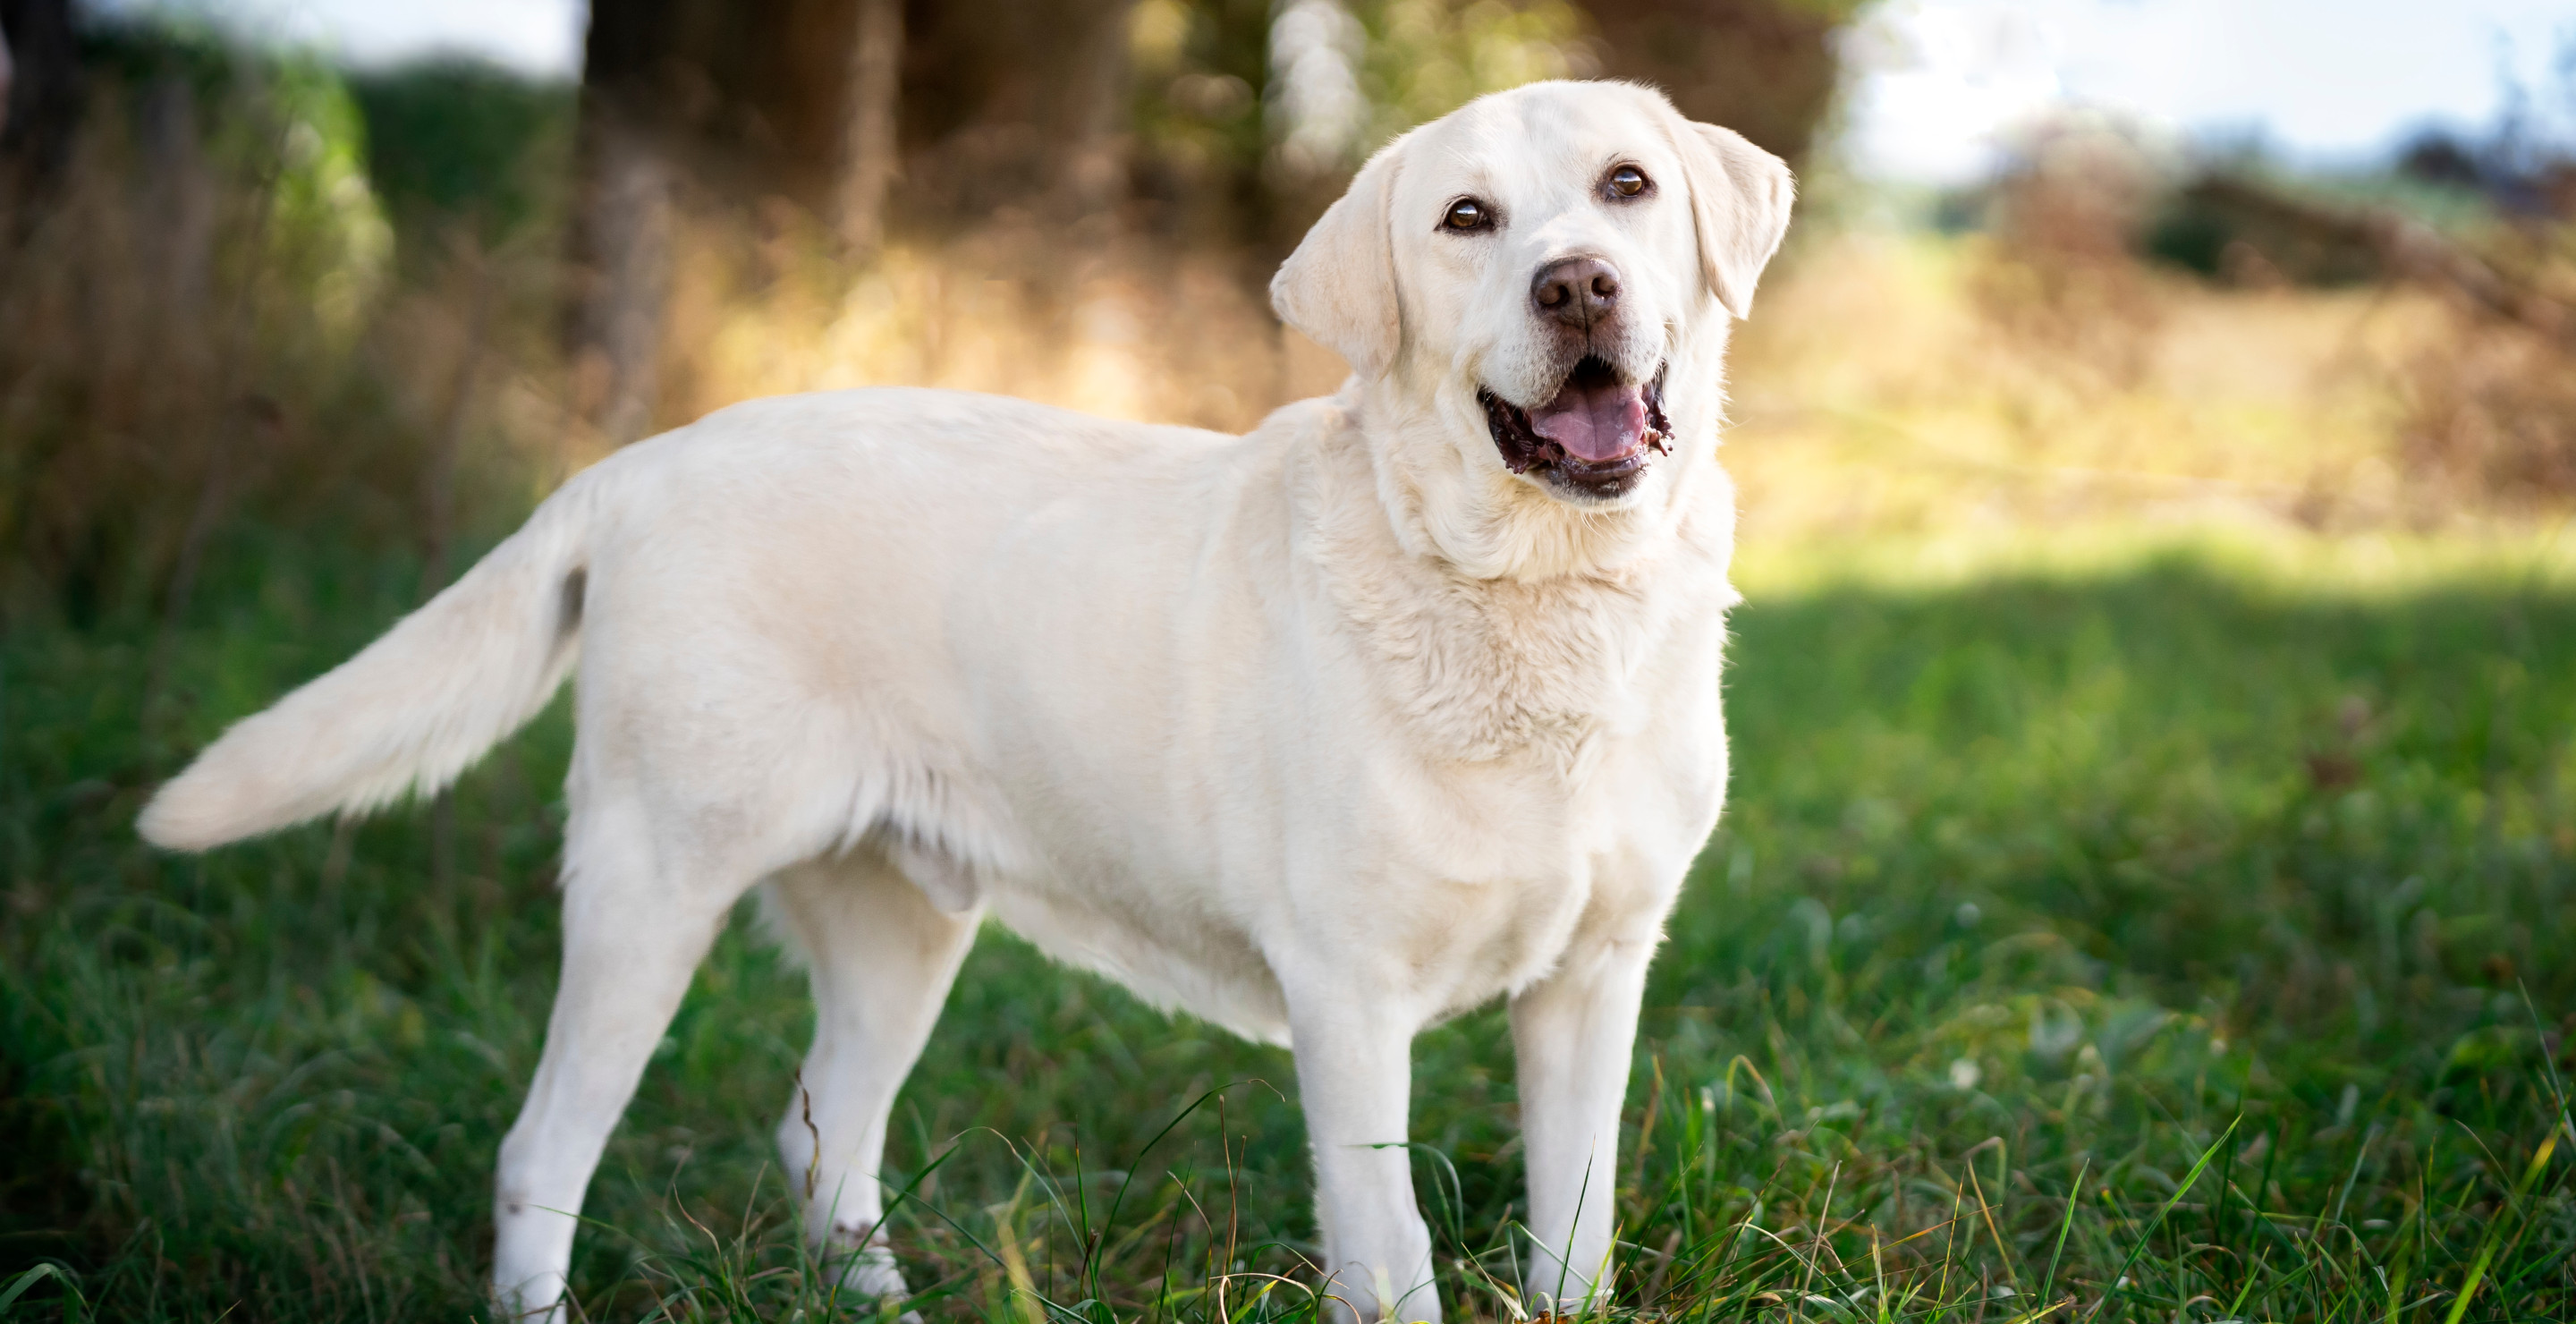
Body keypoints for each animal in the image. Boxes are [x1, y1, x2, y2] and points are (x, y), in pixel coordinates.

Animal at [140, 77, 1792, 1313]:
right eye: (1466, 220)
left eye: (1629, 187)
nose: (1577, 283)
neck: (1536, 601)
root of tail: (635, 465)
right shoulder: (1349, 1001)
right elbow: (1393, 1257)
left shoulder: (1595, 980)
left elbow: (1573, 1242)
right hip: (650, 888)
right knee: (541, 1152)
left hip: (900, 929)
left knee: (824, 1146)